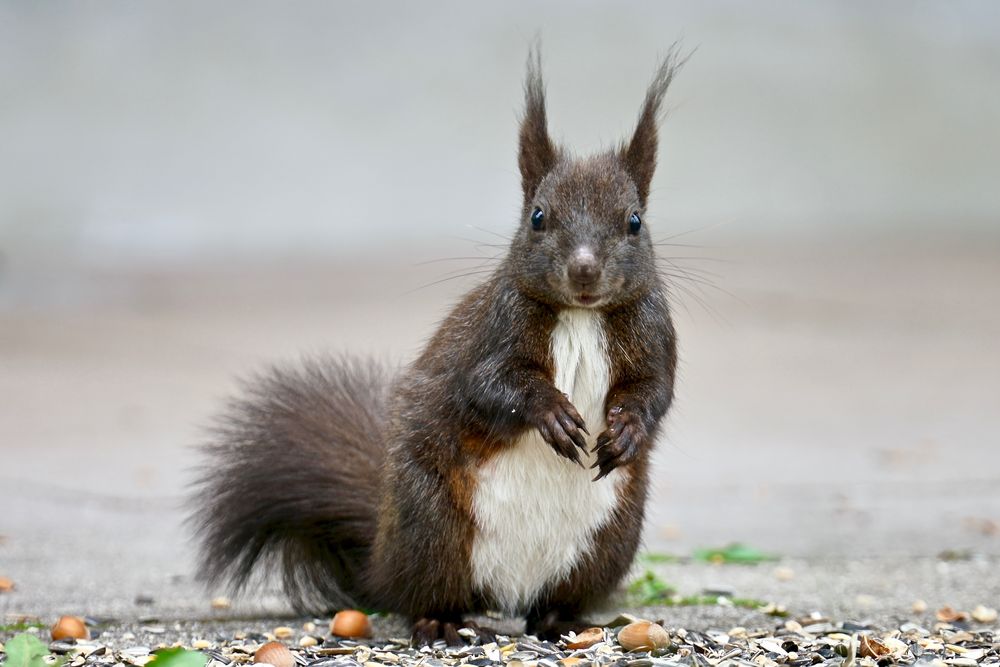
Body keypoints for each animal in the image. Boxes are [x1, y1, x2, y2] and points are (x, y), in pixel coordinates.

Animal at [189, 45, 680, 640]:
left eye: (634, 222)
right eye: (537, 217)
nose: (584, 270)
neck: (581, 316)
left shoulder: (655, 334)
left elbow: (654, 389)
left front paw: (628, 430)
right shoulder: (491, 333)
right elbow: (490, 386)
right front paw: (553, 413)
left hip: (609, 543)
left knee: (555, 599)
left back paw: (565, 620)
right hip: (434, 527)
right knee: (423, 594)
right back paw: (440, 622)